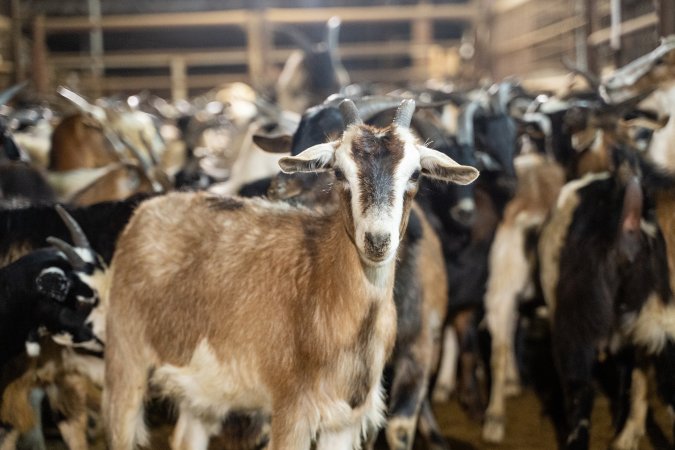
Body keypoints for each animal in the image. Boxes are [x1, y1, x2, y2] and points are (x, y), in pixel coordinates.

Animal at [103, 99, 478, 450]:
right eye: (339, 173)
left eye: (415, 174)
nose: (377, 240)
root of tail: (144, 212)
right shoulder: (291, 409)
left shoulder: (346, 420)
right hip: (126, 355)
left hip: (201, 389)